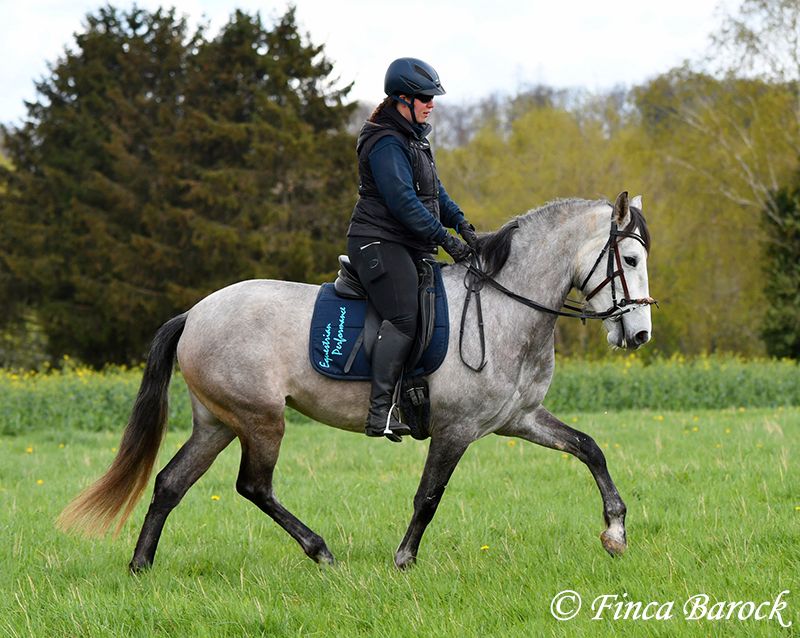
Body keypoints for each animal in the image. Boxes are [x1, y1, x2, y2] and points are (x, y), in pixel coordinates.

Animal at [59, 192, 652, 572]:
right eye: (628, 258)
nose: (640, 333)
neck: (505, 306)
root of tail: (195, 313)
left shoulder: (518, 420)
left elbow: (590, 448)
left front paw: (616, 532)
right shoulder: (456, 429)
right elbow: (429, 495)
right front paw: (404, 560)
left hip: (217, 423)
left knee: (170, 483)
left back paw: (141, 565)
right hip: (260, 419)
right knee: (253, 486)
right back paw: (319, 551)